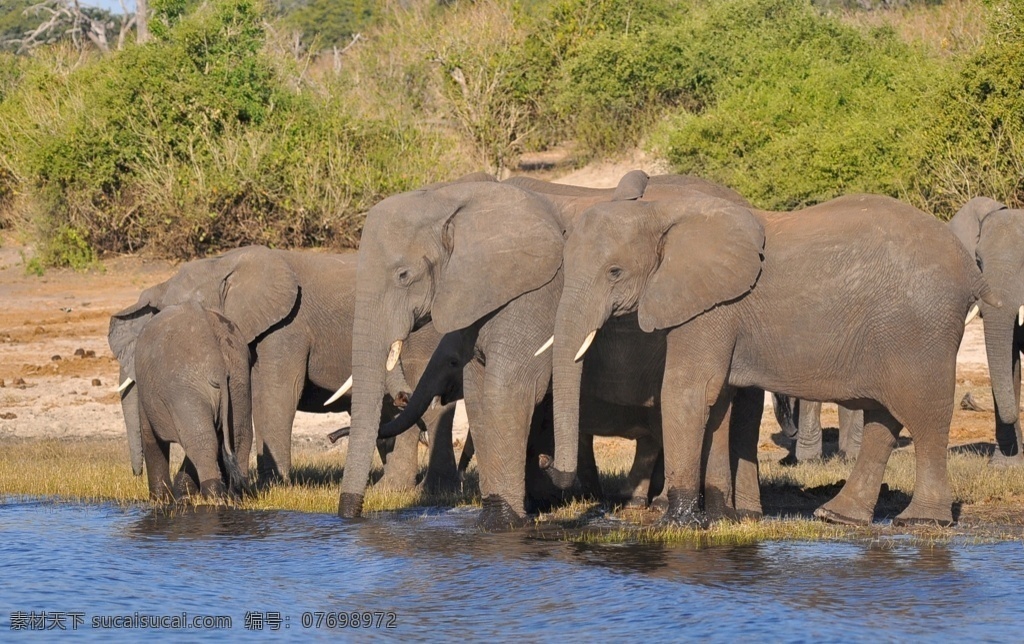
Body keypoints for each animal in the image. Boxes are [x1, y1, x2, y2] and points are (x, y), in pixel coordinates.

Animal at [133, 301, 252, 497]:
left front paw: (161, 499)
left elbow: (150, 436)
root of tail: (218, 363)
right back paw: (237, 495)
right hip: (238, 380)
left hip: (185, 387)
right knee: (240, 436)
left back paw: (212, 495)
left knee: (201, 441)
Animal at [335, 170, 761, 528]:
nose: (349, 514)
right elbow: (480, 394)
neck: (455, 198)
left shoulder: (533, 295)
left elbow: (509, 390)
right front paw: (504, 514)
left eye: (403, 275)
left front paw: (506, 521)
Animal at [548, 184, 995, 528]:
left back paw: (922, 520)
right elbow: (719, 403)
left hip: (920, 328)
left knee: (924, 414)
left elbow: (688, 391)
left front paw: (676, 524)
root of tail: (972, 271)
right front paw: (722, 518)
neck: (662, 213)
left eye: (615, 272)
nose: (552, 469)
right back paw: (838, 517)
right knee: (883, 417)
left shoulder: (712, 306)